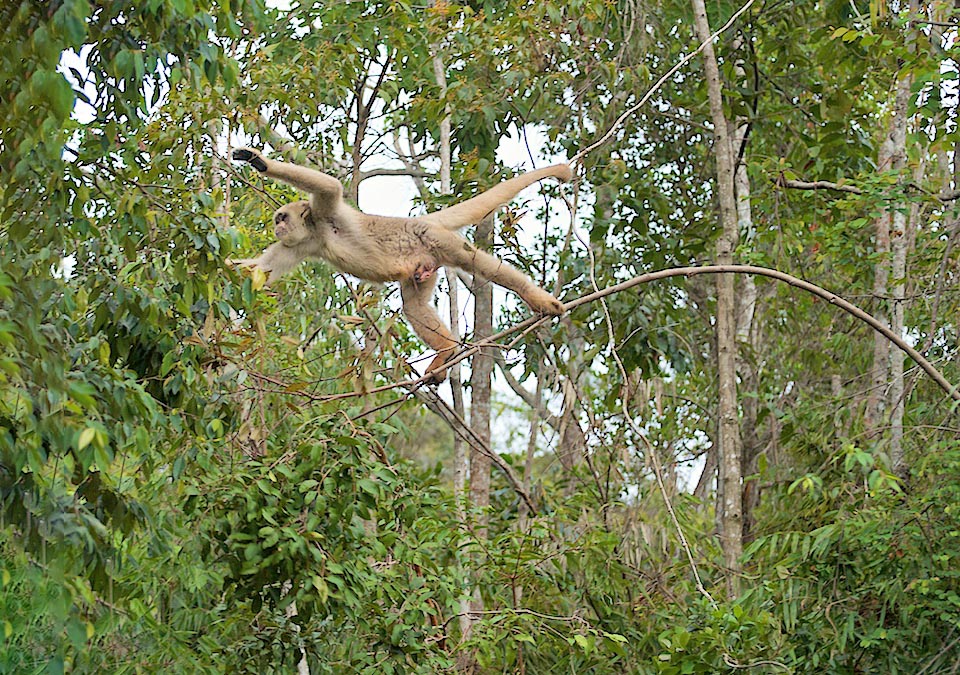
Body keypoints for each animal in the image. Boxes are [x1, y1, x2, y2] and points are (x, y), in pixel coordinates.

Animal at [230, 147, 568, 380]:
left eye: (282, 218)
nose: (277, 227)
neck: (318, 229)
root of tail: (419, 221)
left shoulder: (327, 212)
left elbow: (329, 186)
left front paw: (259, 161)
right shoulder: (300, 244)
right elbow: (260, 270)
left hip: (435, 239)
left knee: (478, 263)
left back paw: (534, 298)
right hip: (425, 264)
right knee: (414, 305)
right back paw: (447, 350)